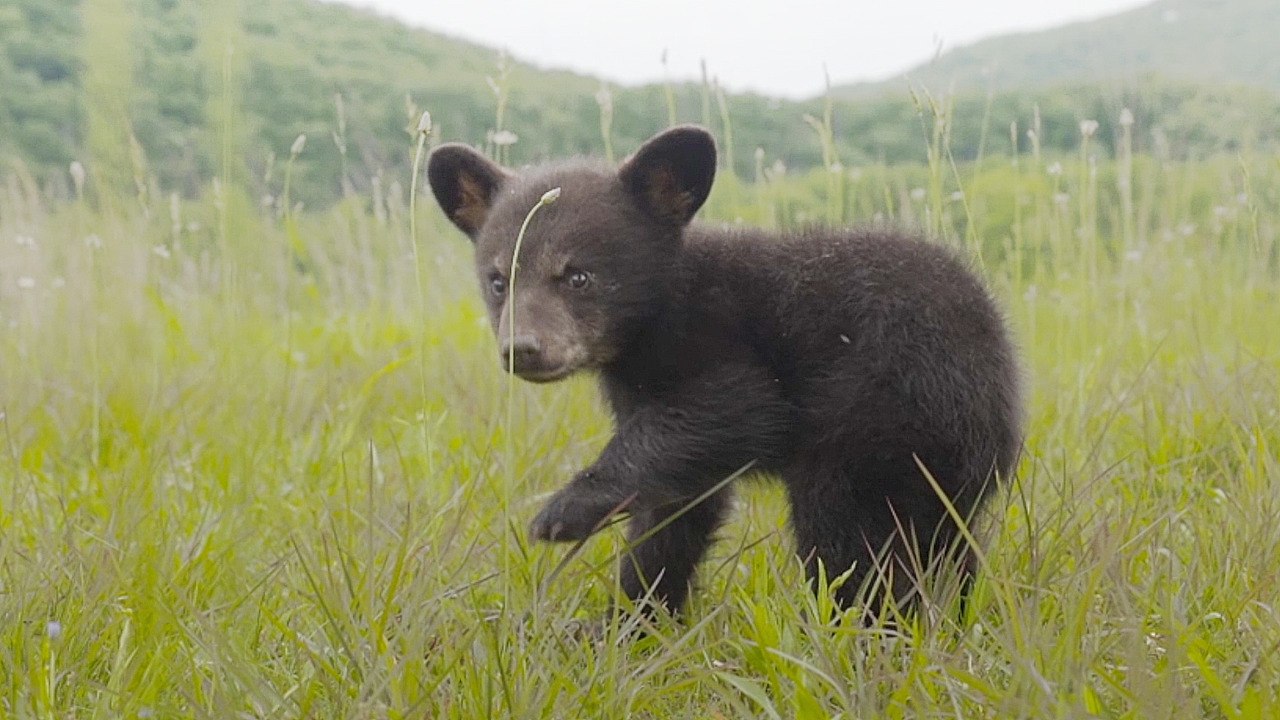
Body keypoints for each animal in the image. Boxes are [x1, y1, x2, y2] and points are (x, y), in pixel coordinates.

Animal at [427, 125, 1023, 618]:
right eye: (498, 279)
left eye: (578, 276)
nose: (523, 349)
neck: (656, 317)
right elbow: (675, 513)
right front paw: (628, 623)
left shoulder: (721, 341)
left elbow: (736, 409)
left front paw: (565, 511)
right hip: (938, 470)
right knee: (944, 547)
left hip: (877, 419)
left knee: (847, 536)